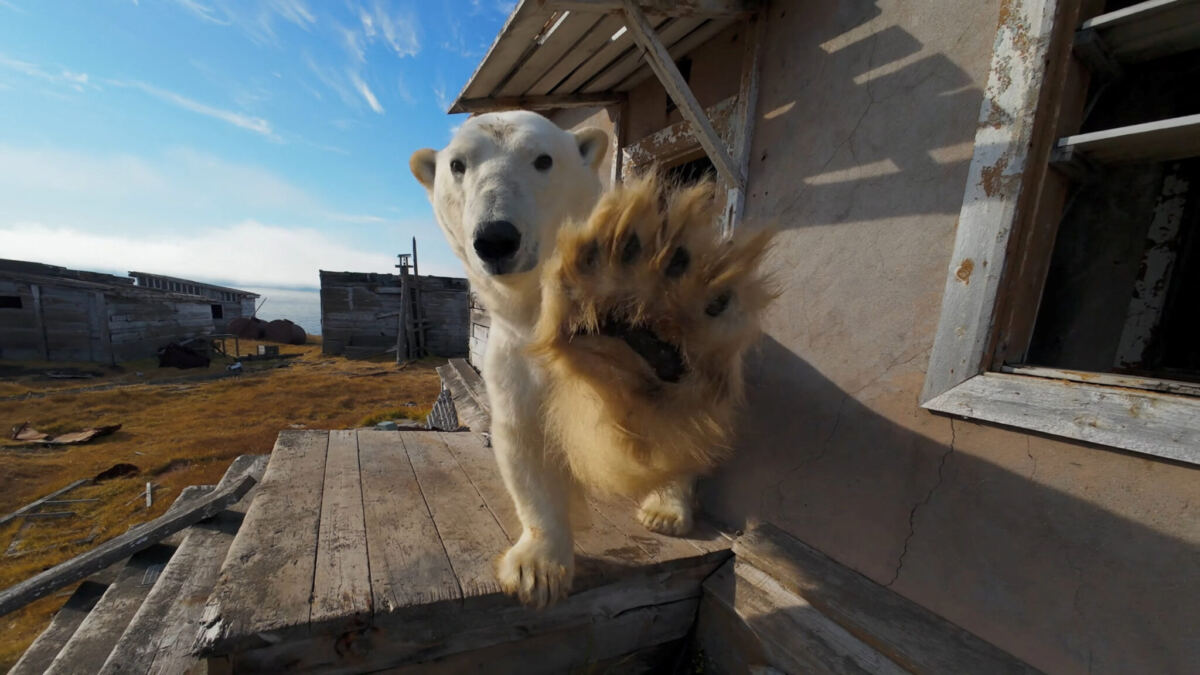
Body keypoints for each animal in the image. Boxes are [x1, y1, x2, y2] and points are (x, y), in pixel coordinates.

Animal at [411, 110, 772, 608]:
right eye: (458, 165)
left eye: (543, 159)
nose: (496, 238)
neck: (539, 314)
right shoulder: (514, 354)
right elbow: (525, 439)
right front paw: (537, 569)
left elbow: (637, 434)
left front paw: (631, 331)